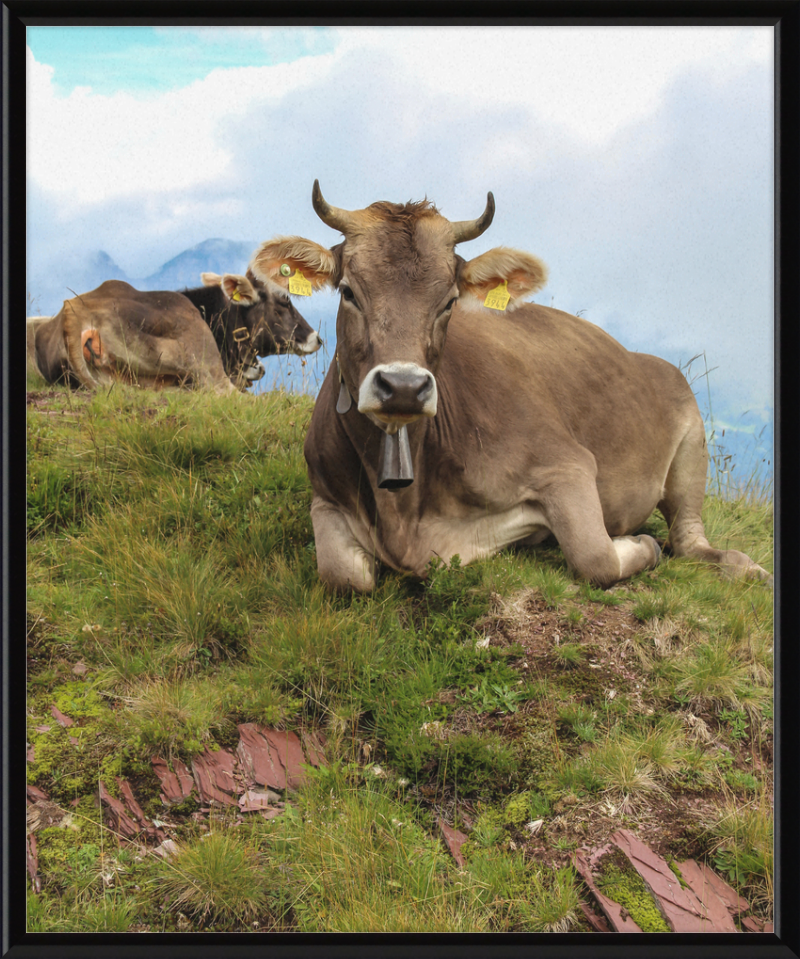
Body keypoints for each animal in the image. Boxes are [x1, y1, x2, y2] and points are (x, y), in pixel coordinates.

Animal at [252, 180, 776, 592]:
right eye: (348, 292)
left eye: (449, 301)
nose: (402, 387)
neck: (403, 509)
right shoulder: (325, 495)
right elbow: (344, 575)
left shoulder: (566, 464)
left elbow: (597, 558)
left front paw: (641, 544)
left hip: (692, 440)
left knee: (688, 540)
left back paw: (744, 566)